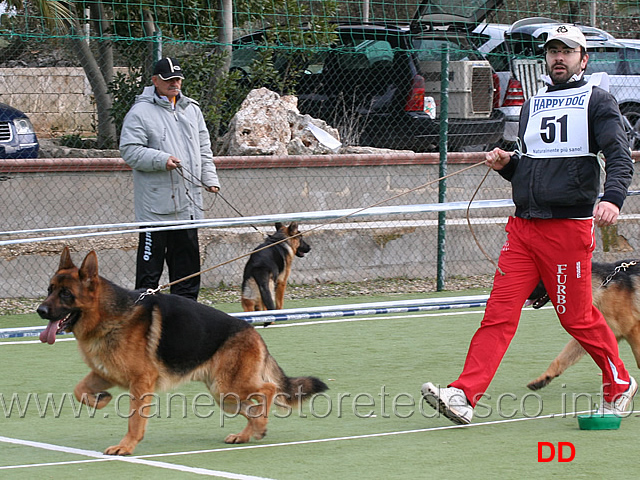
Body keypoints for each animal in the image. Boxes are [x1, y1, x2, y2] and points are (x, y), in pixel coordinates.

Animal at [37, 248, 328, 458]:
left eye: (66, 294)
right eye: (50, 290)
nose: (40, 311)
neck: (111, 315)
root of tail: (253, 331)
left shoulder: (140, 383)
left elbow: (134, 421)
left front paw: (126, 446)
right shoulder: (104, 374)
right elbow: (79, 391)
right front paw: (101, 400)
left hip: (228, 387)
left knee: (268, 390)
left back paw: (259, 427)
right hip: (225, 395)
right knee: (253, 407)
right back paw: (249, 432)